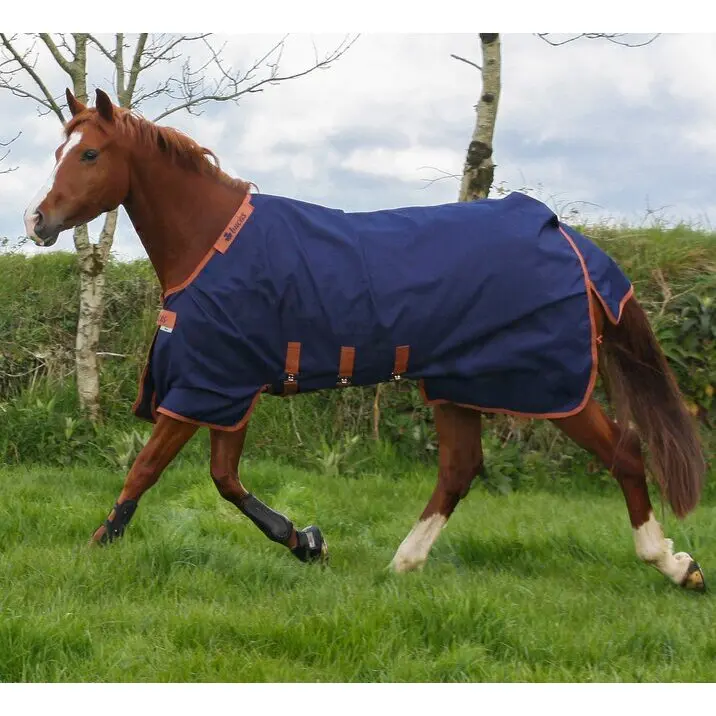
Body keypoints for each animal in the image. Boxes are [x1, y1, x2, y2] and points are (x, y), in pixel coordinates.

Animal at [22, 88, 707, 591]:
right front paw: (307, 543)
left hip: (544, 384)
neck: (212, 242)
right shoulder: (228, 388)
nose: (37, 220)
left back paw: (674, 565)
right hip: (457, 382)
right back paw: (403, 563)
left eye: (89, 154)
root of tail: (568, 238)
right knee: (459, 469)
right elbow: (224, 479)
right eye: (60, 148)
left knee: (623, 452)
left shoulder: (211, 383)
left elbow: (147, 469)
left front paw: (96, 546)